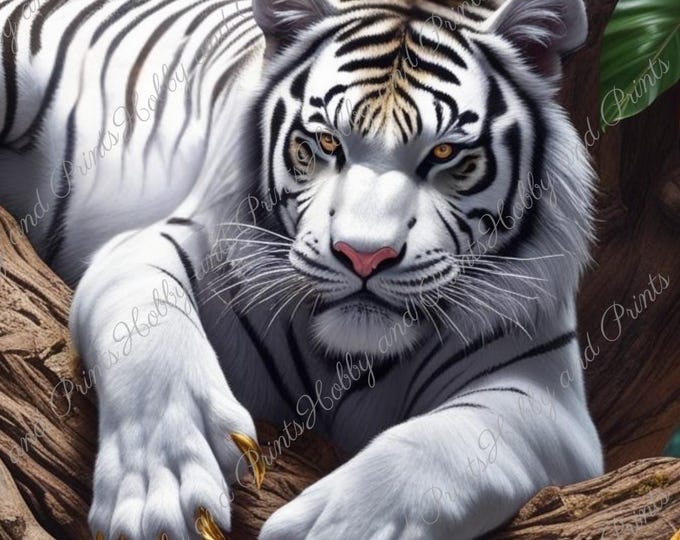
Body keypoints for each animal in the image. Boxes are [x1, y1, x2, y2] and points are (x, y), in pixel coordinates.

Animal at [0, 0, 604, 538]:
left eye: (444, 154)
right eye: (327, 142)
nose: (364, 255)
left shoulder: (547, 397)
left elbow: (446, 445)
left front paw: (345, 525)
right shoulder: (152, 246)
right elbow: (151, 337)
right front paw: (162, 482)